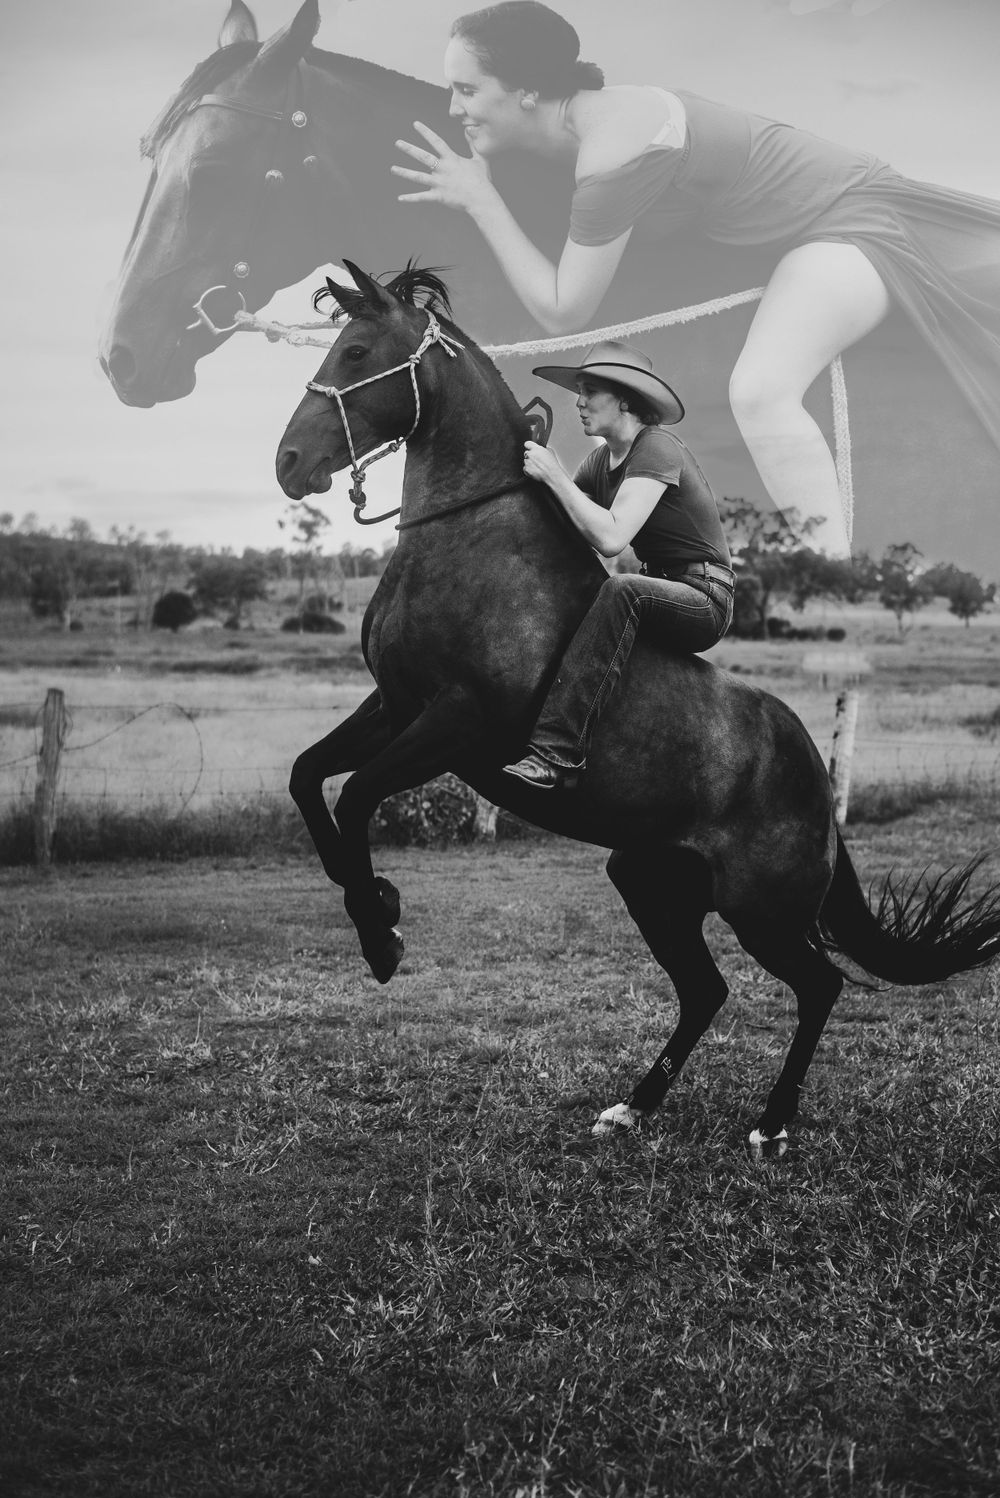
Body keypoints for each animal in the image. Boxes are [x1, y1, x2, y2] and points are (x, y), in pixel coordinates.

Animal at [273, 259, 1000, 1151]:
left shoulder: (457, 723)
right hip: (652, 884)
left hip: (759, 910)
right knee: (706, 990)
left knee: (818, 986)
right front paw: (372, 907)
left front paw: (383, 931)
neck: (472, 540)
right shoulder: (394, 706)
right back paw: (634, 1105)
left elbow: (355, 798)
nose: (290, 461)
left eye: (357, 350)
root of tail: (817, 784)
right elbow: (309, 780)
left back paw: (770, 1125)